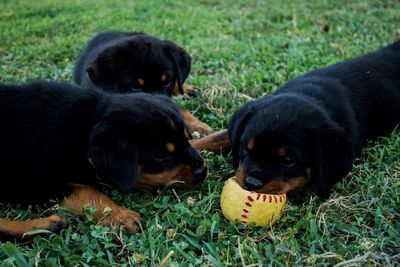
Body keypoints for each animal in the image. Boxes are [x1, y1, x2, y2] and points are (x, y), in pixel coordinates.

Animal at [0, 80, 206, 240]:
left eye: (186, 138)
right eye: (161, 157)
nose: (202, 171)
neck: (84, 127)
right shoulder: (34, 183)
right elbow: (86, 191)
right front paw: (121, 216)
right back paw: (43, 225)